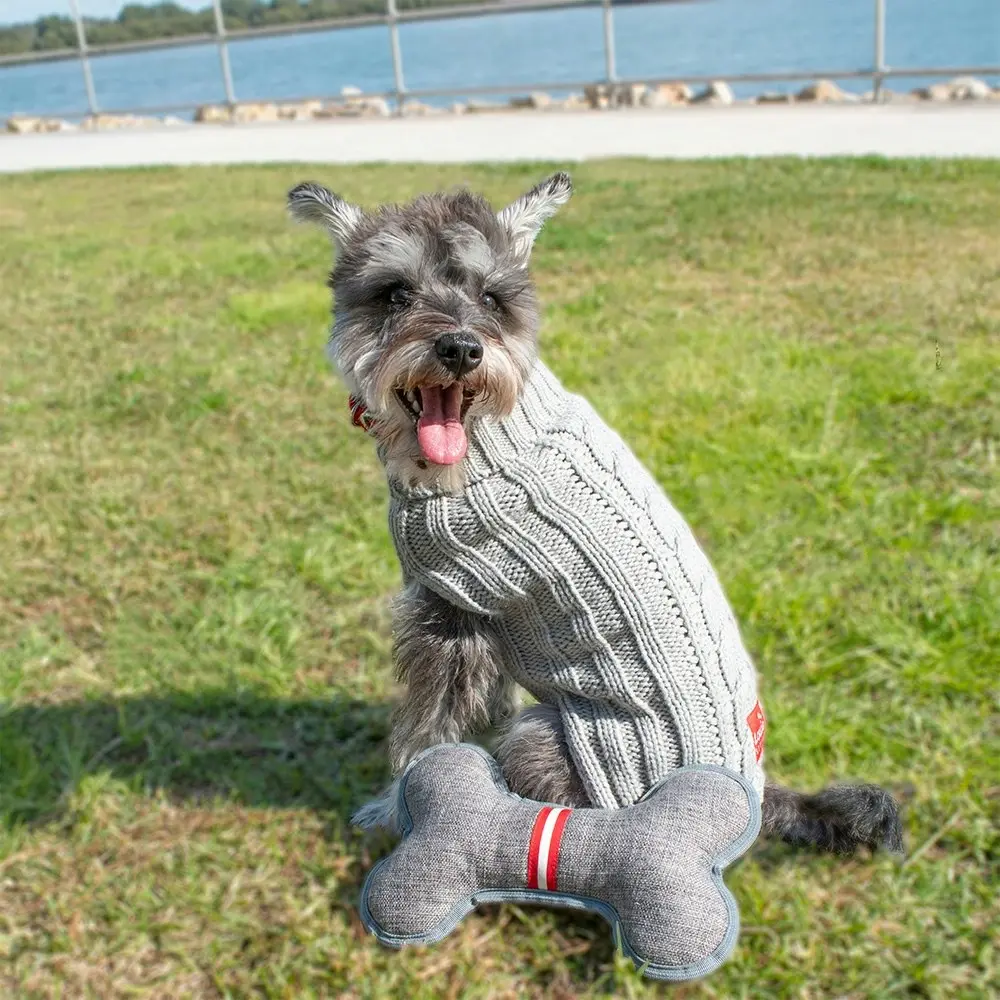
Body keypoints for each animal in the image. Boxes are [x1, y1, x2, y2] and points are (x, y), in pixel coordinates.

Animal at [288, 170, 908, 852]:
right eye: (394, 293)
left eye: (492, 297)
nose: (460, 349)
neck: (483, 440)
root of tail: (754, 800)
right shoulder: (472, 625)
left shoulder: (449, 620)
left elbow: (427, 733)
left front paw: (396, 808)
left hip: (550, 743)